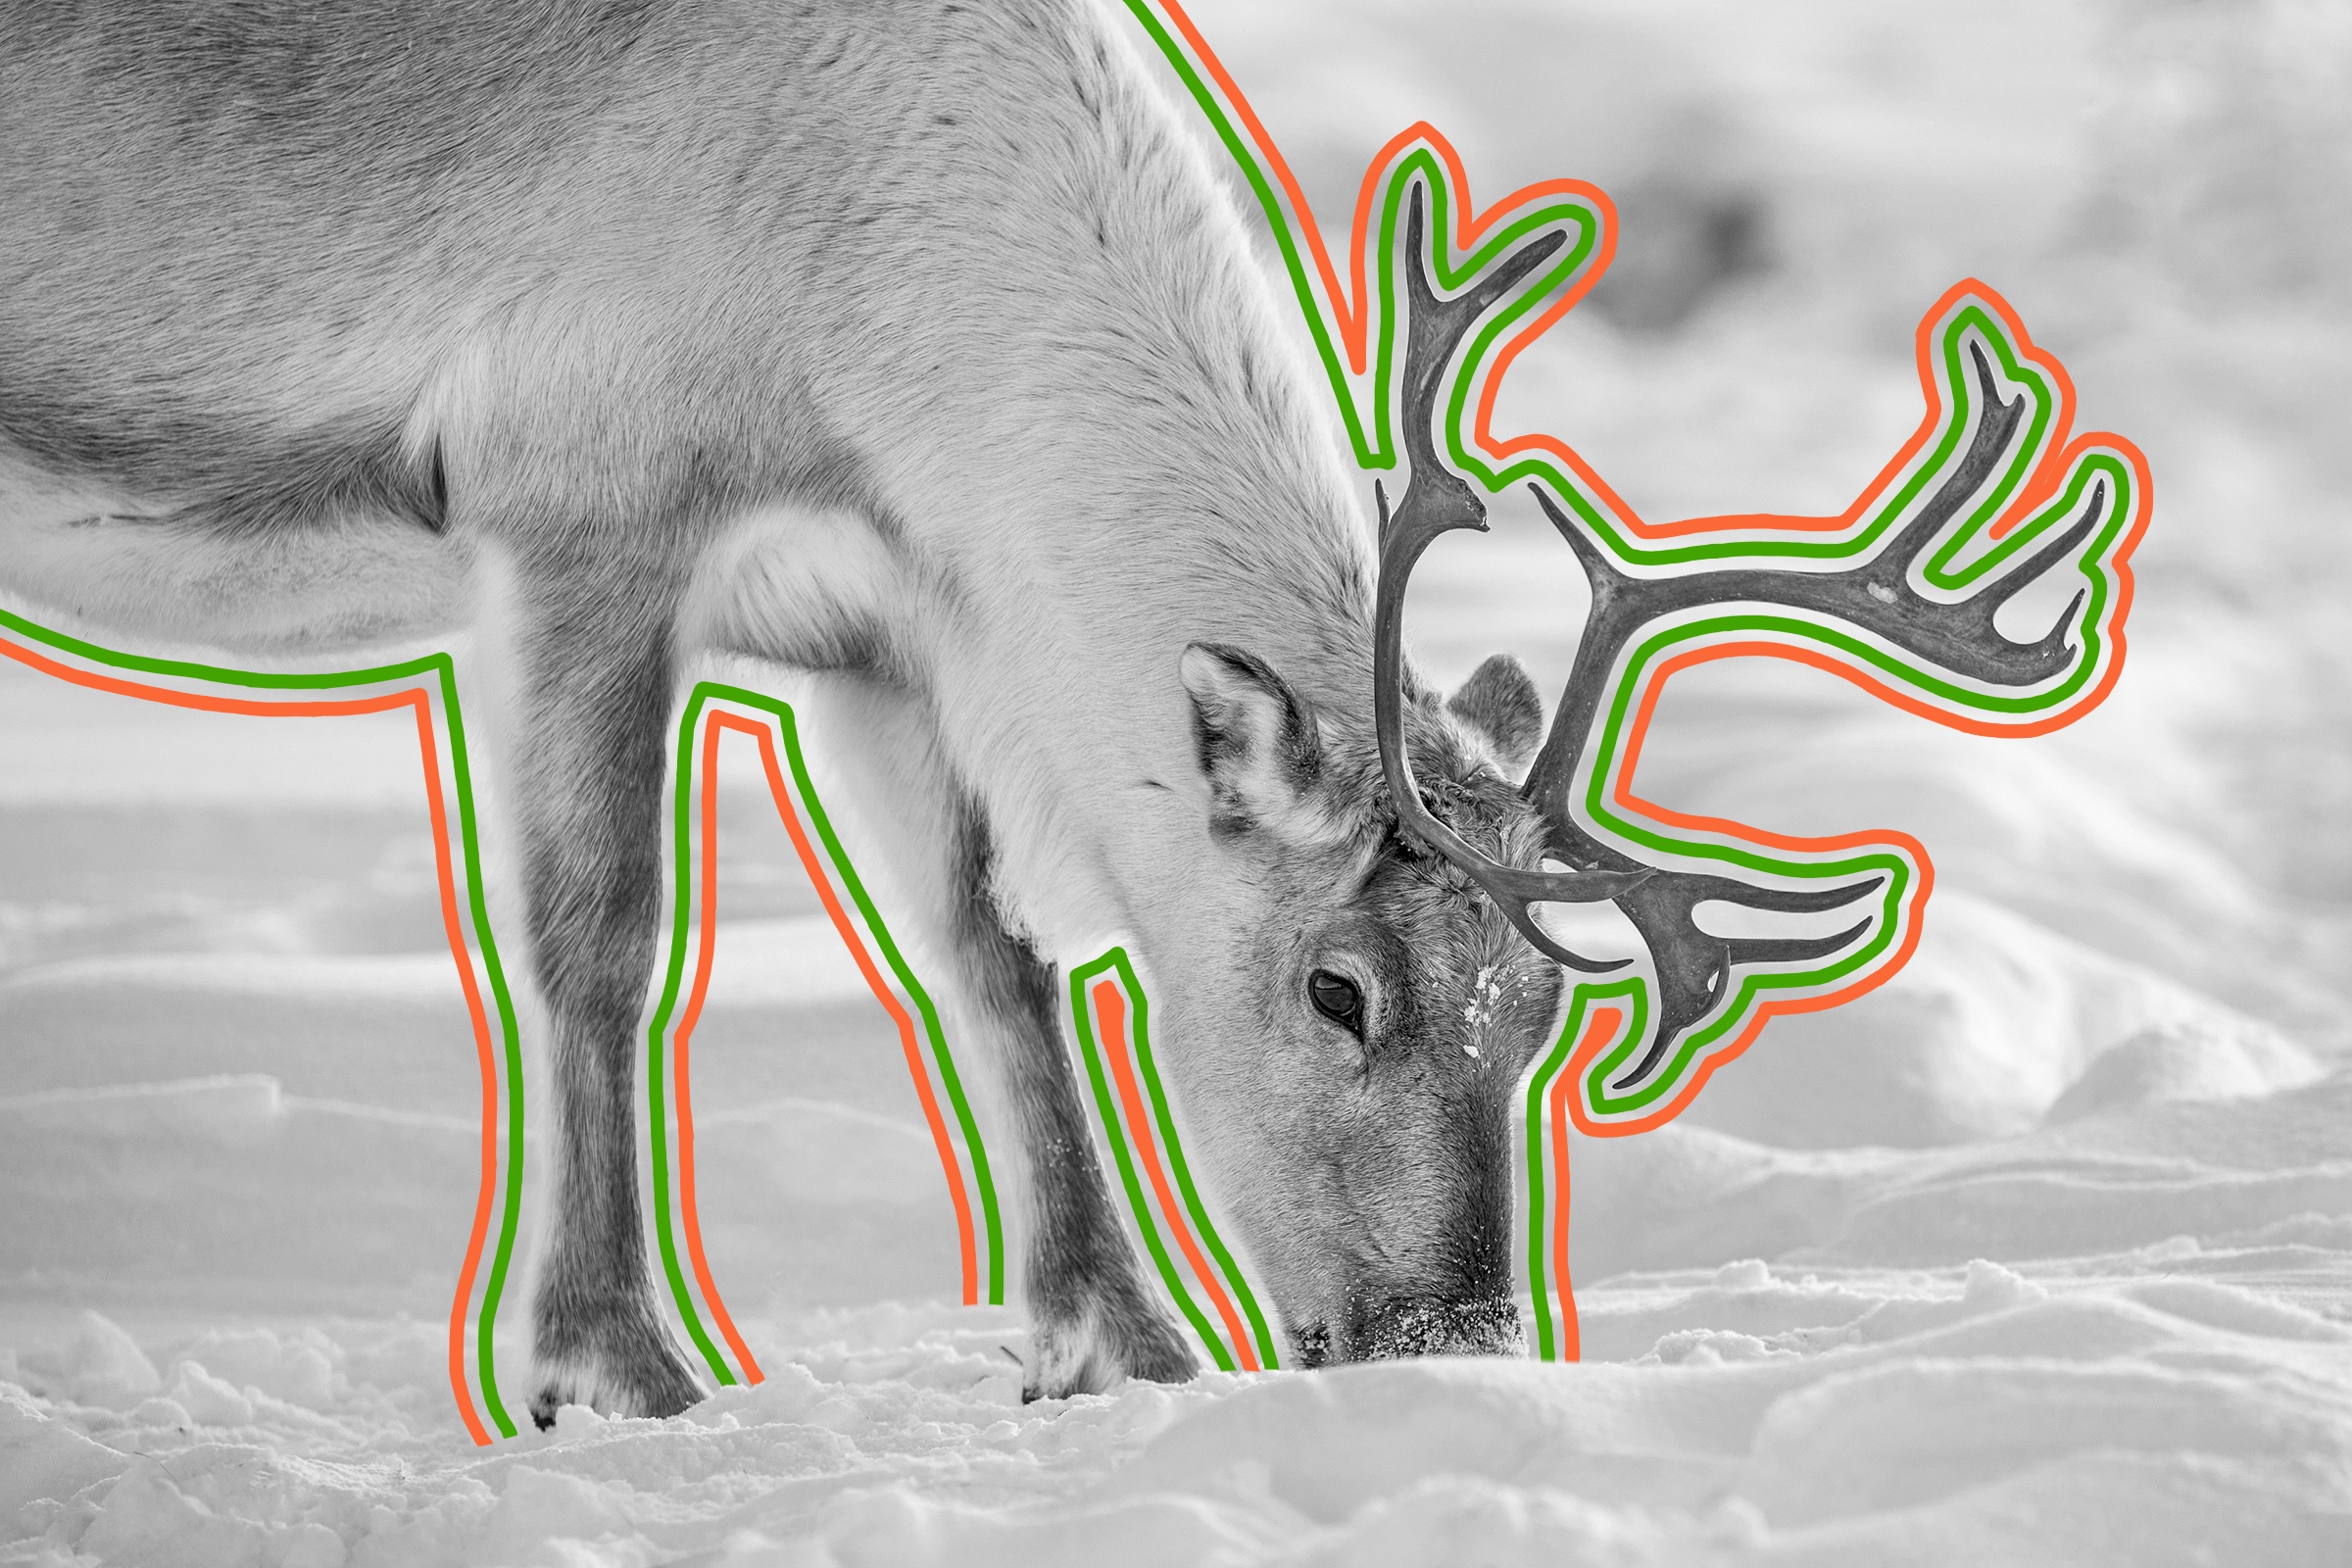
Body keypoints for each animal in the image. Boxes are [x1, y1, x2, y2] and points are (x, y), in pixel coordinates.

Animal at [0, 0, 2117, 1422]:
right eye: (1338, 988)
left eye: (1547, 1002)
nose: (1451, 1339)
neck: (886, 312)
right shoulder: (578, 492)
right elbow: (601, 931)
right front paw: (613, 1362)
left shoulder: (878, 614)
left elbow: (992, 953)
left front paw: (1119, 1339)